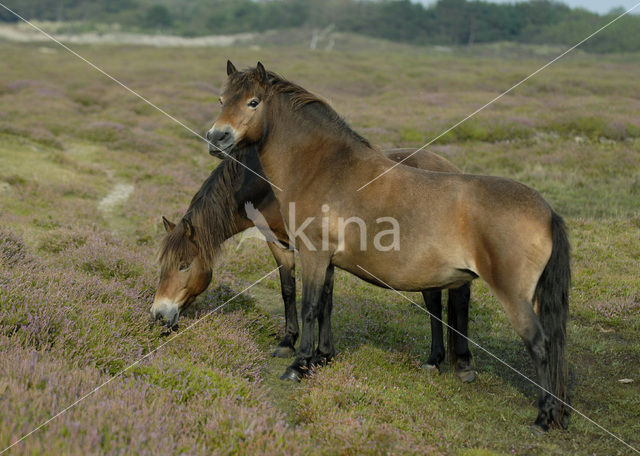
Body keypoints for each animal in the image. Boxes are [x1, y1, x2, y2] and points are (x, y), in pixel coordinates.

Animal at [152, 144, 476, 380]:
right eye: (162, 266)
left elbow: (313, 300)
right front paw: (308, 350)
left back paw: (457, 363)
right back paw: (435, 359)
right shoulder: (290, 246)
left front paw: (308, 357)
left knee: (455, 301)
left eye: (184, 265)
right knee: (435, 304)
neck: (267, 186)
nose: (158, 314)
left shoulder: (311, 250)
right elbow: (302, 295)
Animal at [208, 61, 572, 432]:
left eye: (253, 102)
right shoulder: (326, 262)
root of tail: (547, 212)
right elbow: (325, 306)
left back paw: (544, 417)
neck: (325, 169)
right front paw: (322, 358)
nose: (216, 138)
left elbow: (310, 307)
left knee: (541, 344)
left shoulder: (313, 255)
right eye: (222, 99)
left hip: (514, 297)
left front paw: (299, 365)